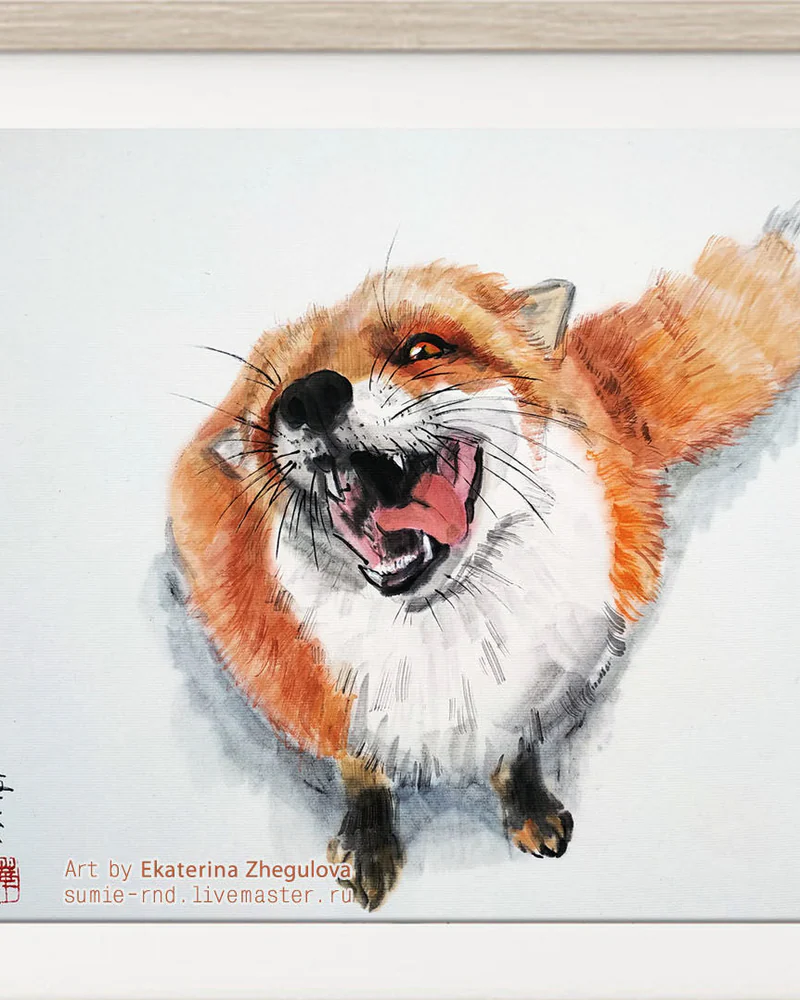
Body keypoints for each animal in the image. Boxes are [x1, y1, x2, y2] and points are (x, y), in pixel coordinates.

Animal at [169, 206, 800, 910]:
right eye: (274, 403)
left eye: (422, 349)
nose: (309, 397)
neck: (449, 634)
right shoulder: (339, 709)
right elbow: (364, 775)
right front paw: (369, 844)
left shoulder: (539, 686)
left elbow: (516, 753)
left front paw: (528, 809)